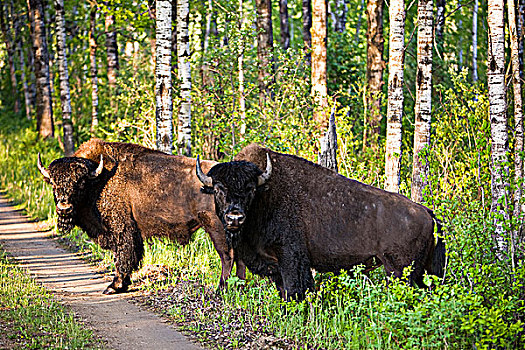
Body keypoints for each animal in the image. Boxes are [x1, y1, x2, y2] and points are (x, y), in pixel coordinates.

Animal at [37, 139, 245, 296]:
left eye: (79, 183)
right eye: (53, 183)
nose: (64, 207)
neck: (99, 179)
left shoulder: (122, 230)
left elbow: (123, 257)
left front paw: (114, 286)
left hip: (216, 227)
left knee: (227, 255)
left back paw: (221, 289)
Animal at [196, 144, 446, 300]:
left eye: (250, 190)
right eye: (218, 189)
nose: (234, 217)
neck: (264, 195)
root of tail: (427, 212)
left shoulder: (291, 259)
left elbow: (295, 290)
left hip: (400, 272)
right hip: (421, 271)